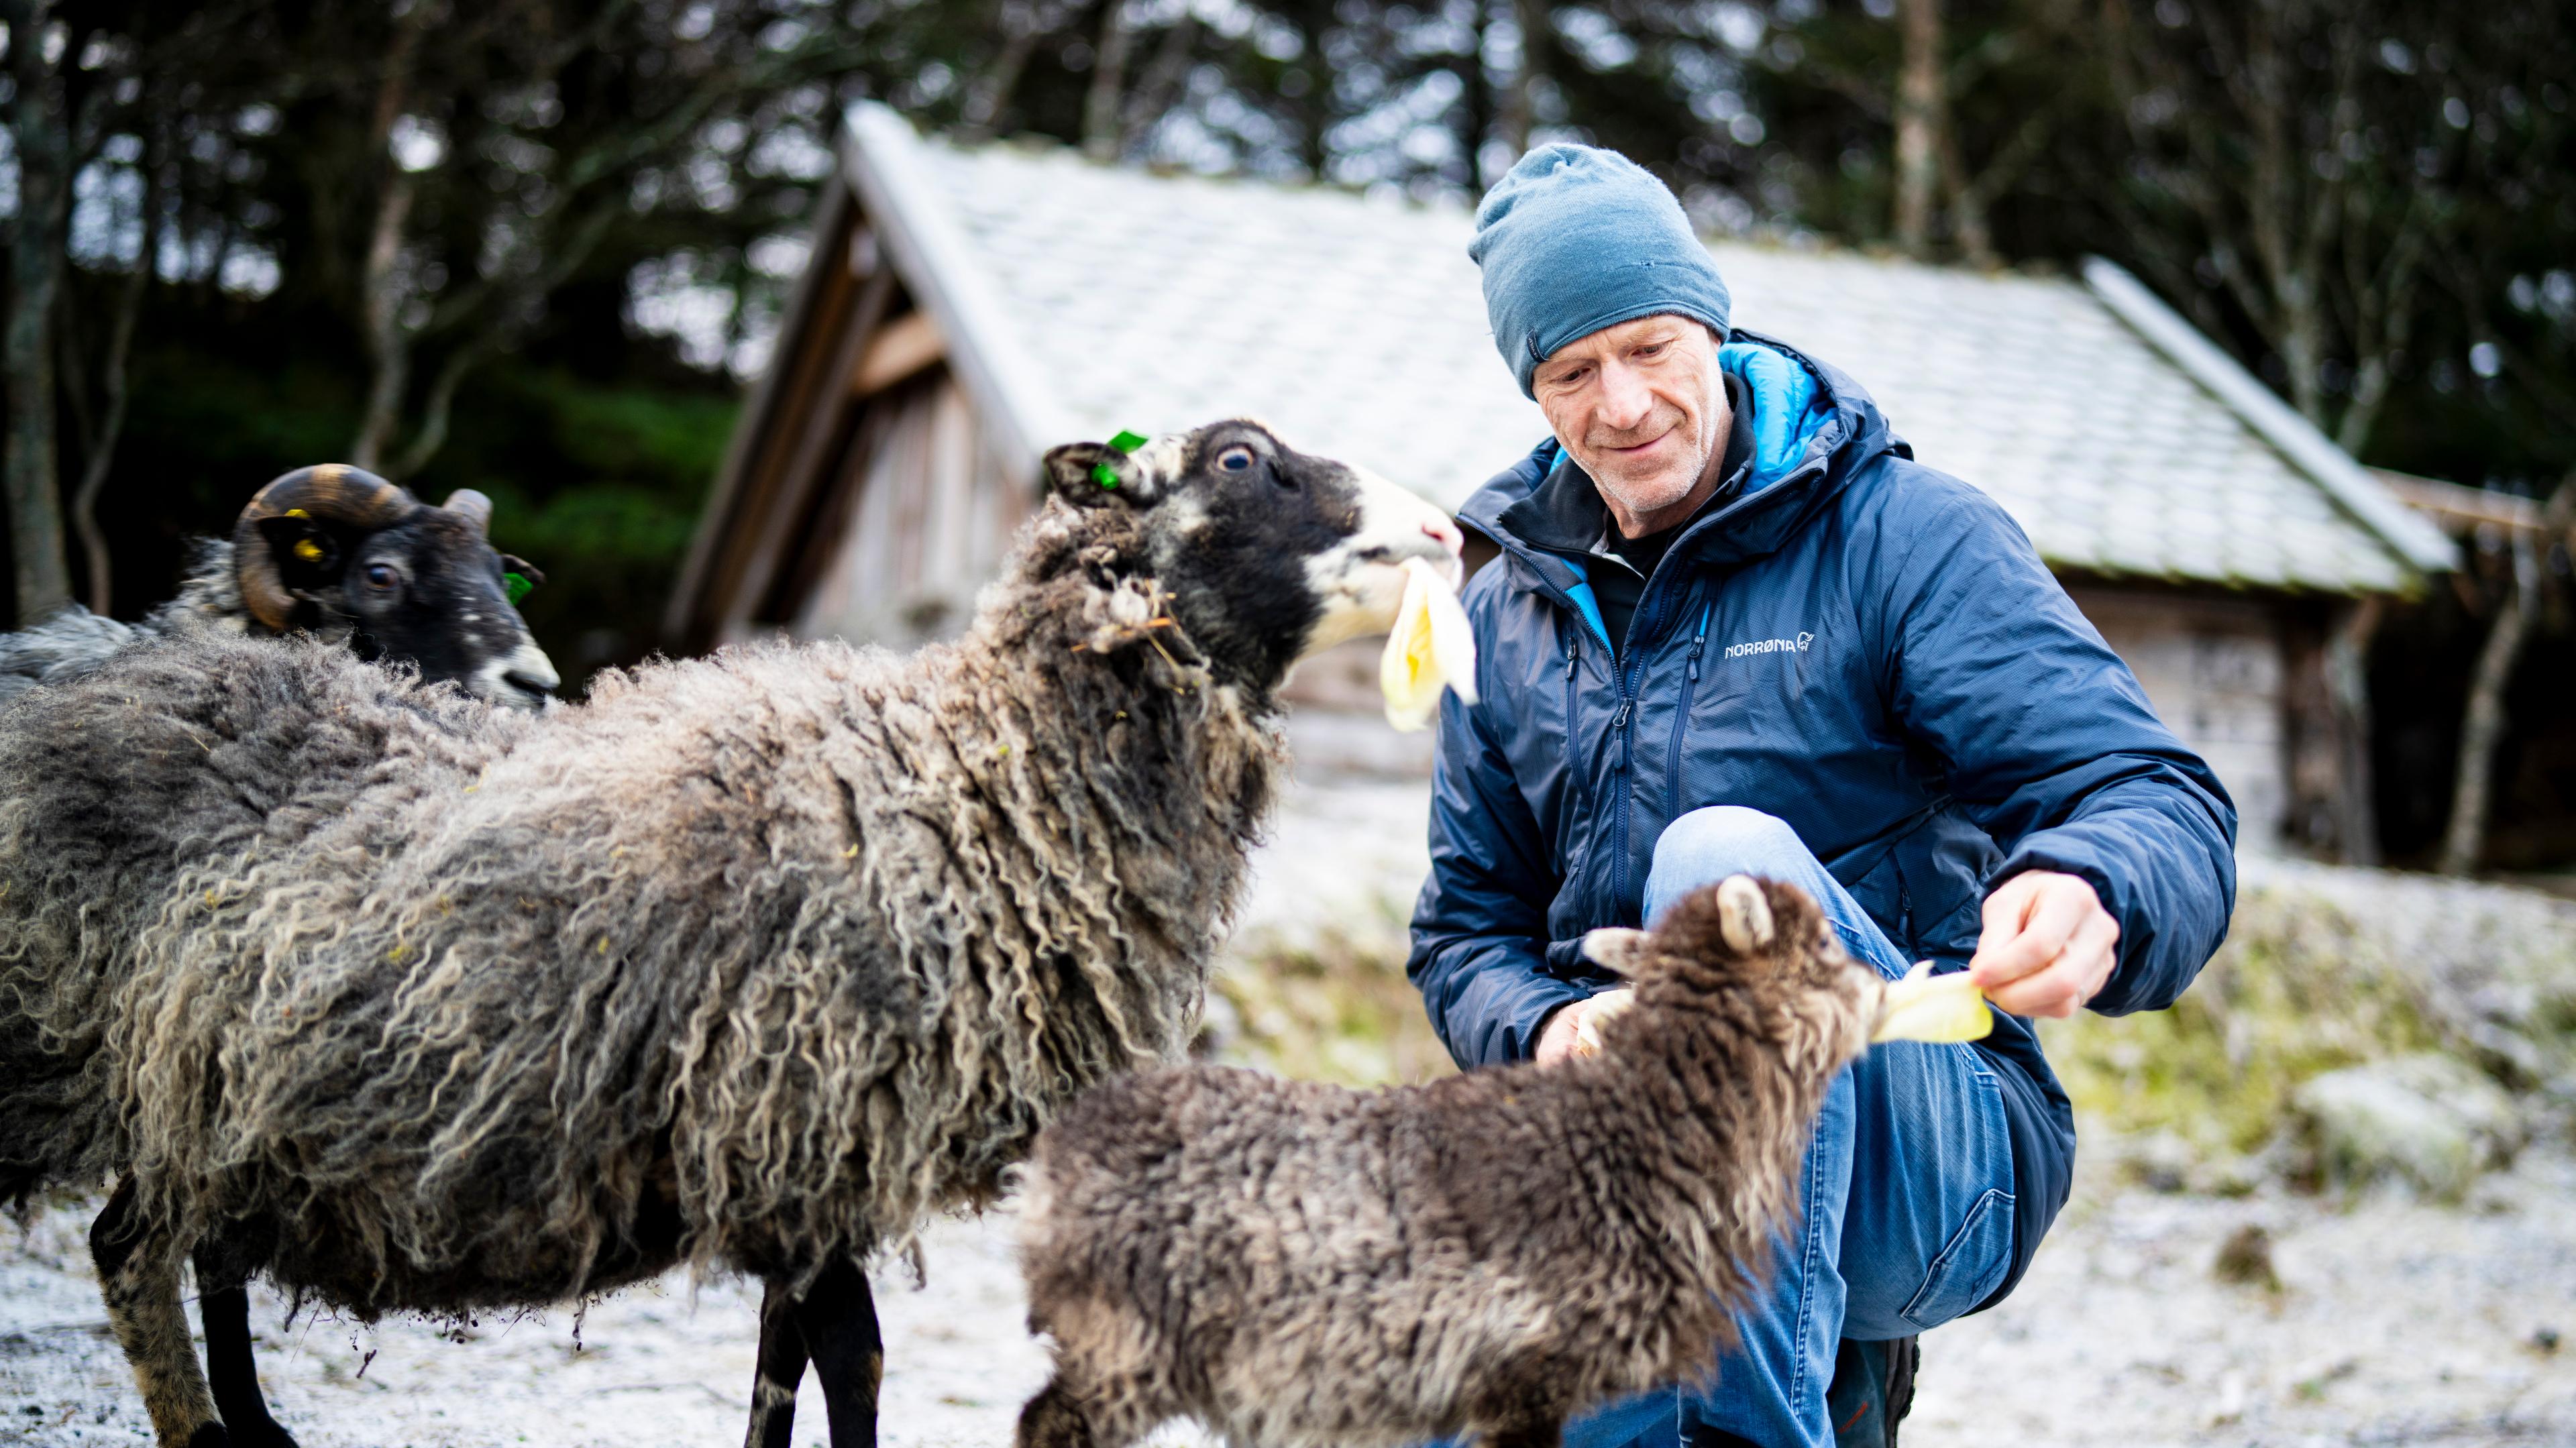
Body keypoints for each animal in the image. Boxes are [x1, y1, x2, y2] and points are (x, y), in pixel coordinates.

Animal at [1011, 874, 1890, 1448]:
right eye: (1821, 943)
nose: (1885, 983)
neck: (1631, 1127)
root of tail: (1058, 1159)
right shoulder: (1523, 1364)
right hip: (1128, 1330)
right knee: (1047, 1422)